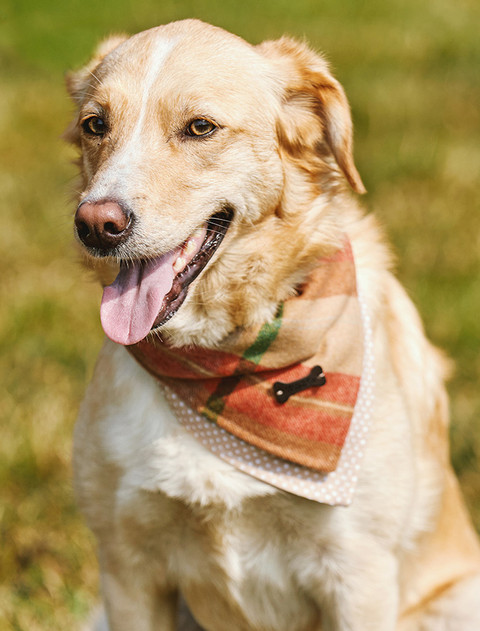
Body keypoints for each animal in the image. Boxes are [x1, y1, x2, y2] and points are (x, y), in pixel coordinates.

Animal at [66, 19, 480, 631]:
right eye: (96, 125)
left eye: (200, 127)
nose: (96, 224)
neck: (224, 357)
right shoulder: (126, 567)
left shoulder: (358, 574)